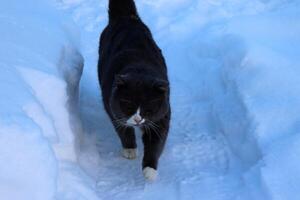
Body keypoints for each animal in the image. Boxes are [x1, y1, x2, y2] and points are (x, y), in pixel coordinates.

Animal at [98, 0, 170, 180]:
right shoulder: (112, 108)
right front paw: (130, 150)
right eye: (129, 105)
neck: (139, 70)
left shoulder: (162, 117)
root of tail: (125, 17)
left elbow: (155, 144)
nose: (137, 119)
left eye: (148, 107)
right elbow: (123, 130)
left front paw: (149, 171)